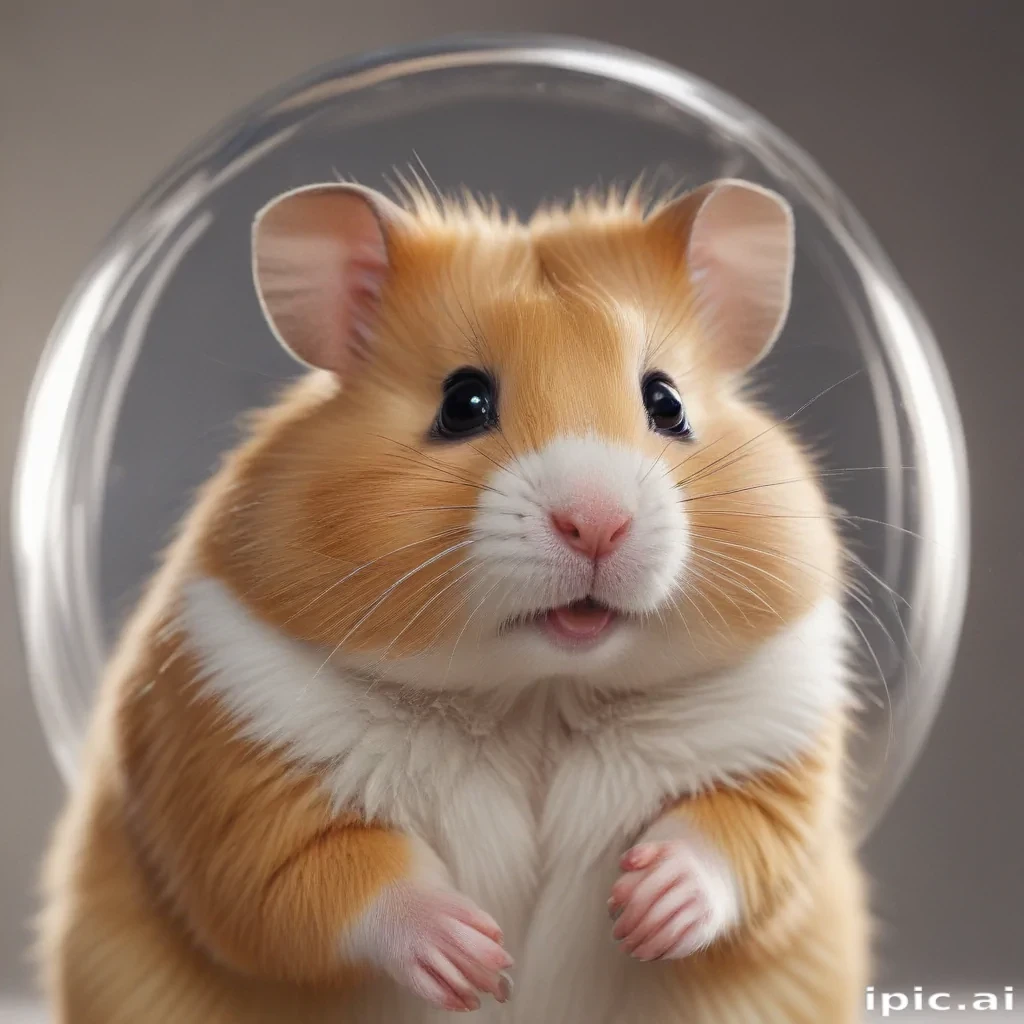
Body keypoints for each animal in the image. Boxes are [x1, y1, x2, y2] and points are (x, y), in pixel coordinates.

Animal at [40, 177, 869, 1024]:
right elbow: (338, 878)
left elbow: (729, 841)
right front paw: (480, 961)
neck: (538, 696)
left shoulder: (774, 765)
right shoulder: (237, 784)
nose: (596, 523)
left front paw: (645, 906)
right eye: (464, 402)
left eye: (666, 402)